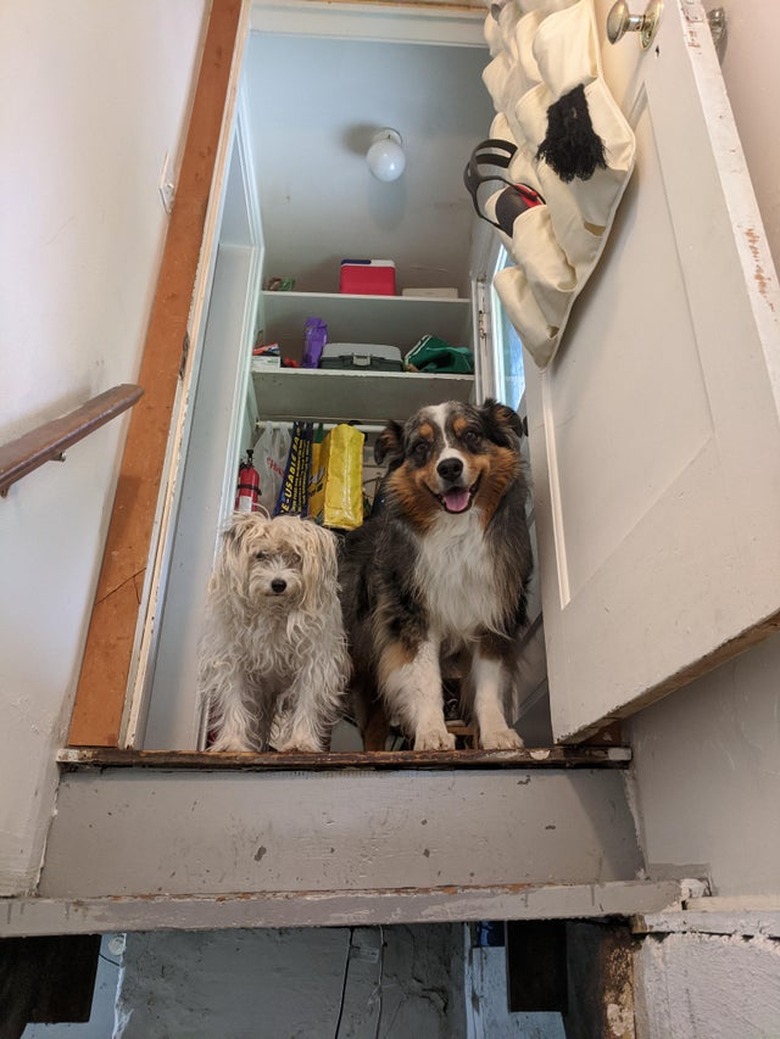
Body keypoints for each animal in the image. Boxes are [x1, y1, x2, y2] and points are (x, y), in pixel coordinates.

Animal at [198, 509, 351, 748]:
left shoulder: (314, 662)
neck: (274, 610)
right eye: (261, 555)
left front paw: (301, 741)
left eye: (296, 556)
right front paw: (233, 741)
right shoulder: (233, 661)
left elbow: (307, 701)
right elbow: (234, 701)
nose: (279, 584)